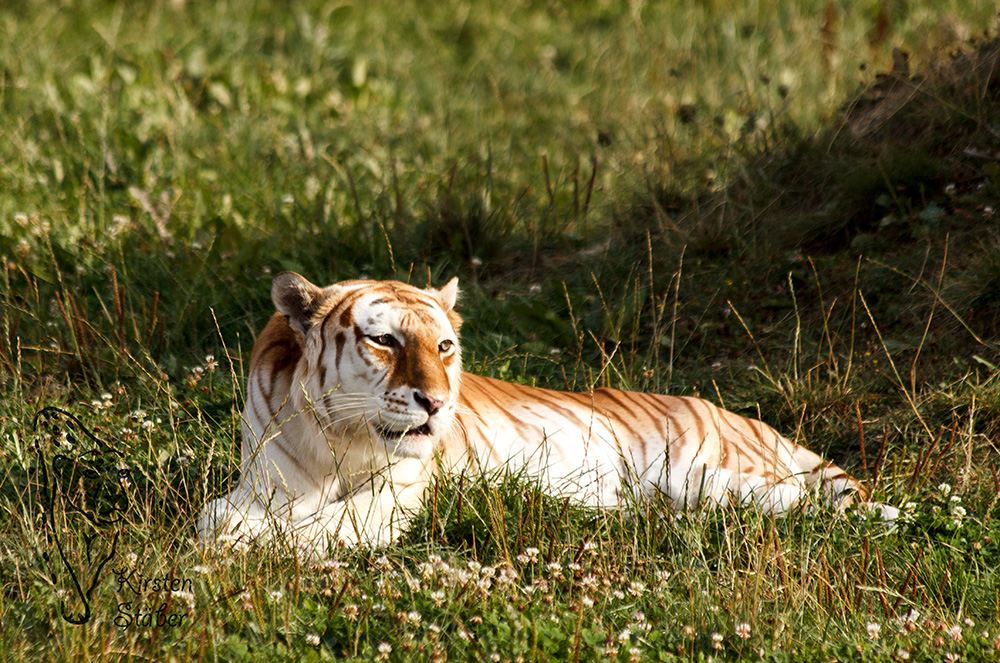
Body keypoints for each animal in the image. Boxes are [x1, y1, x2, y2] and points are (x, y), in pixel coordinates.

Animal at [197, 272, 900, 552]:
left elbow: (318, 528)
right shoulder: (261, 481)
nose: (437, 402)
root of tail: (748, 419)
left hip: (707, 475)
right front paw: (233, 536)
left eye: (444, 346)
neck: (336, 442)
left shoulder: (397, 495)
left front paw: (261, 545)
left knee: (833, 503)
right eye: (385, 340)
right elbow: (217, 517)